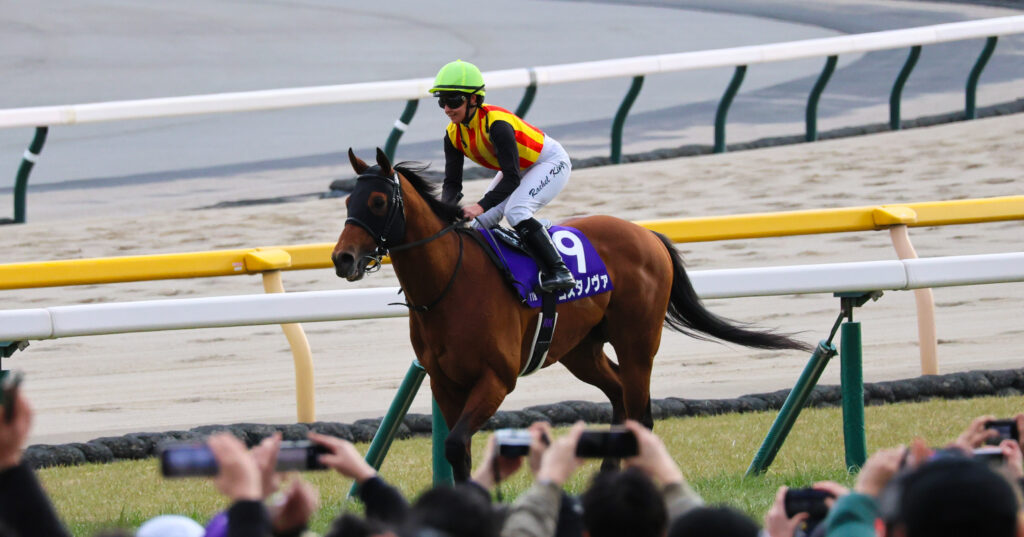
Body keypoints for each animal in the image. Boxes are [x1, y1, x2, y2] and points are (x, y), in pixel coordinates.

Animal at [332, 148, 810, 481]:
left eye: (378, 201)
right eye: (348, 200)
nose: (342, 259)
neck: (450, 282)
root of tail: (648, 235)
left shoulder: (497, 379)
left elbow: (455, 444)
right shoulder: (444, 382)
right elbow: (457, 450)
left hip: (637, 343)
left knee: (641, 414)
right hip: (582, 350)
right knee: (618, 398)